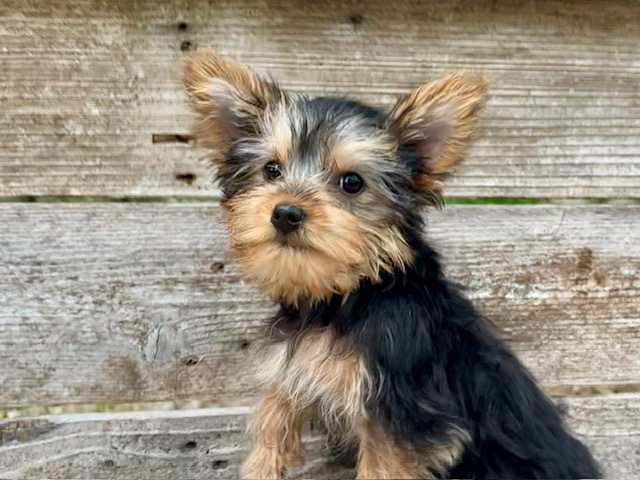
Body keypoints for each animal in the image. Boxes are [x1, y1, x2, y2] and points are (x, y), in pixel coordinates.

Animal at [182, 50, 604, 478]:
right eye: (271, 170)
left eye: (352, 182)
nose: (285, 212)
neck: (345, 295)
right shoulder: (295, 369)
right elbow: (274, 419)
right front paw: (261, 465)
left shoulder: (399, 412)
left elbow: (381, 464)